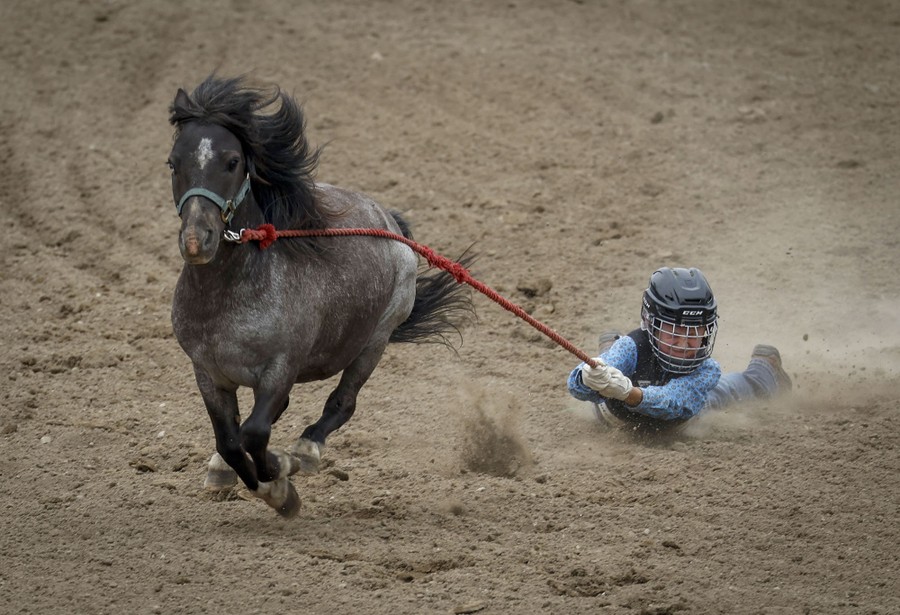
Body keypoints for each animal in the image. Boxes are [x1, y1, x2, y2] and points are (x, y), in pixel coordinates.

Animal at [167, 75, 473, 518]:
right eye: (174, 162)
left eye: (232, 161)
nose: (196, 241)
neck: (228, 299)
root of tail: (387, 220)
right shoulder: (207, 372)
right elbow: (230, 441)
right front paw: (235, 473)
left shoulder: (281, 367)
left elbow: (254, 434)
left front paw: (280, 485)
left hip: (376, 340)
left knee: (342, 403)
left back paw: (305, 451)